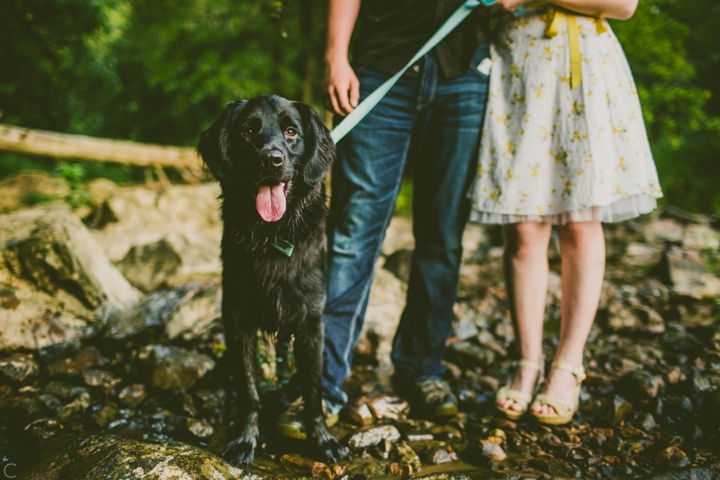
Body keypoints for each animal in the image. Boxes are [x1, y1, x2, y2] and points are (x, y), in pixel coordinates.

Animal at [198, 95, 350, 466]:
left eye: (292, 131)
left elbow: (313, 390)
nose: (272, 159)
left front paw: (323, 440)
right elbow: (248, 389)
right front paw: (245, 439)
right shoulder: (236, 318)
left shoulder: (311, 322)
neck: (273, 233)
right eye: (247, 131)